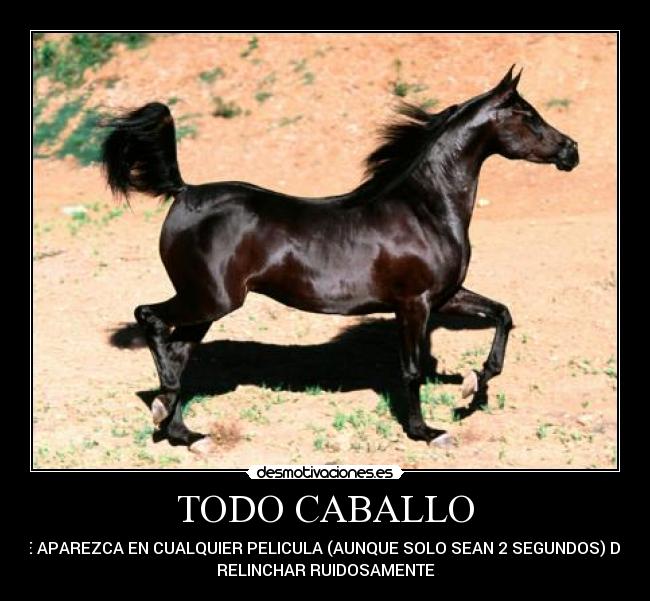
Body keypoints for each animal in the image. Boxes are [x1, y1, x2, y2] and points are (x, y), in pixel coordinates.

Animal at [101, 66, 579, 451]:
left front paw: (472, 388)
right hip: (209, 299)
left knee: (178, 351)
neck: (424, 208)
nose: (571, 150)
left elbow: (502, 314)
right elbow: (411, 370)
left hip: (207, 306)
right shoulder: (414, 304)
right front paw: (427, 432)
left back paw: (184, 433)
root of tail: (184, 192)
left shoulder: (445, 296)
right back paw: (164, 408)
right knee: (150, 319)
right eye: (529, 116)